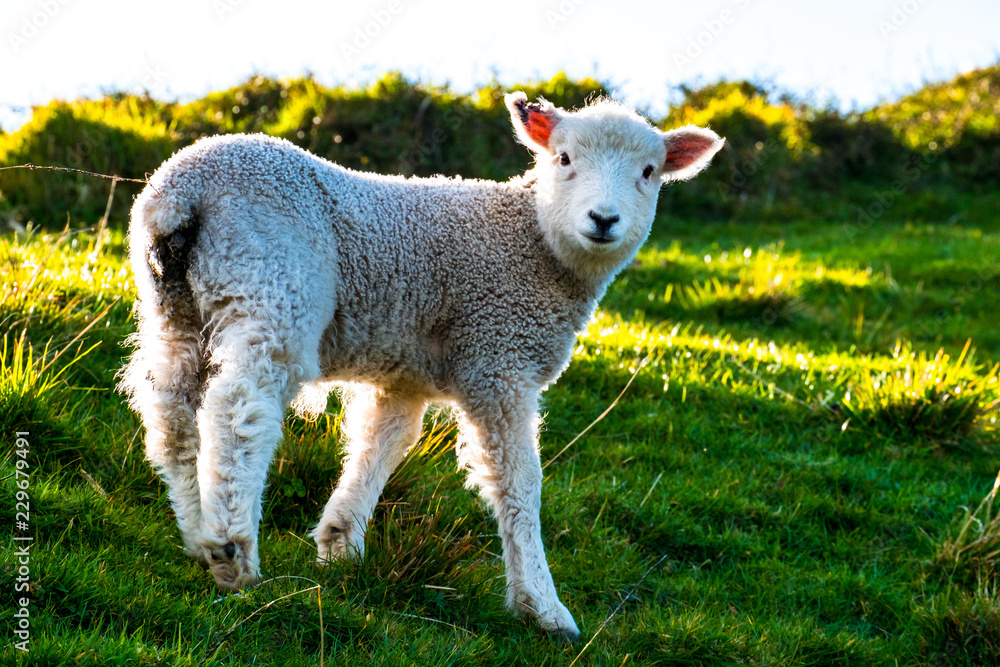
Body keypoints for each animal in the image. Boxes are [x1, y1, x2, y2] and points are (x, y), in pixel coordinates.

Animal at [120, 91, 724, 640]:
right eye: (564, 158)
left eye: (648, 172)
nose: (604, 219)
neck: (535, 244)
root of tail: (182, 191)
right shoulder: (497, 357)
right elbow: (519, 483)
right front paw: (543, 607)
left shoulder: (404, 374)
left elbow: (383, 444)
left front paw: (341, 544)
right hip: (272, 285)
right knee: (237, 410)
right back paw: (232, 551)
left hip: (174, 306)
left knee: (172, 414)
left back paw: (196, 534)